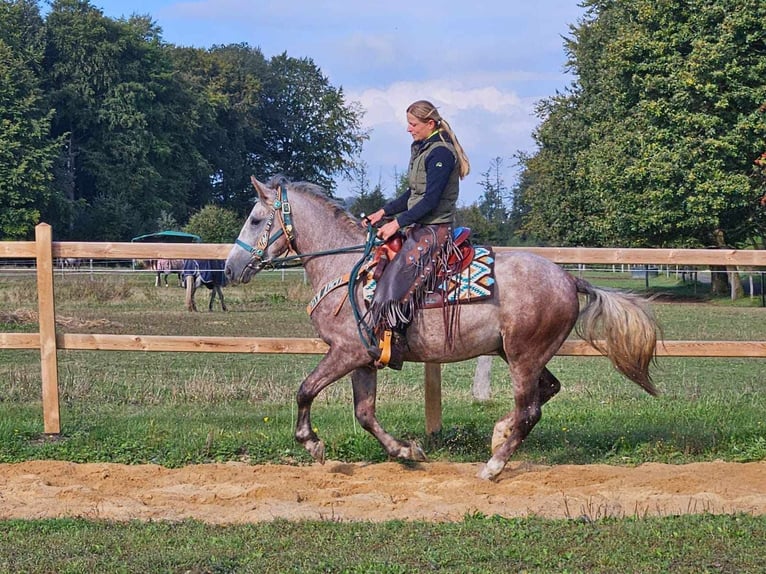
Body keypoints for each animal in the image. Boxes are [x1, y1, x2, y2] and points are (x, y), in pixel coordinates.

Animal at [222, 176, 660, 482]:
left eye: (256, 219)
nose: (229, 268)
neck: (346, 268)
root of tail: (570, 279)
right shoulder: (363, 358)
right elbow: (364, 413)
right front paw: (406, 452)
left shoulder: (346, 352)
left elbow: (305, 390)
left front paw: (311, 443)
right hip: (520, 354)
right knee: (545, 392)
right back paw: (498, 433)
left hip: (523, 356)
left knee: (530, 409)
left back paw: (493, 465)